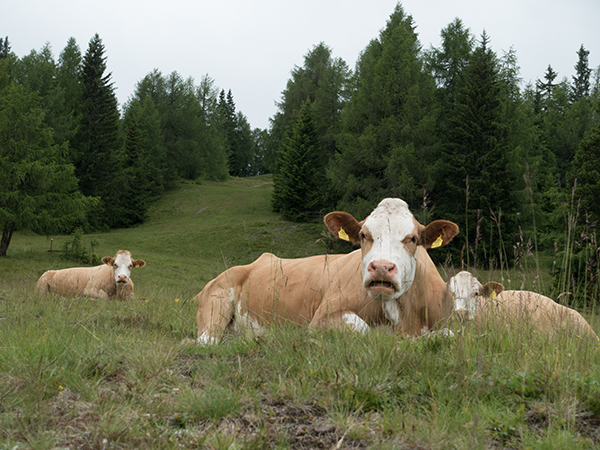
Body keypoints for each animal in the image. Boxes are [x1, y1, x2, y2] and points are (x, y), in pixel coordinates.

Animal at [191, 198, 459, 345]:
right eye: (364, 235)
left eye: (412, 238)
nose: (381, 267)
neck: (404, 316)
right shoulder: (321, 318)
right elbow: (362, 329)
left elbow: (450, 333)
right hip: (215, 306)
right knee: (206, 341)